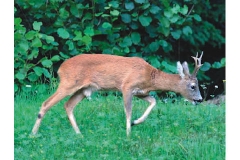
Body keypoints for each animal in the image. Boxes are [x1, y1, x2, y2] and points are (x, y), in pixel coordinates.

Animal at [31, 52, 202, 136]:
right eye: (193, 86)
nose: (200, 100)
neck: (150, 76)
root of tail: (61, 68)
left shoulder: (141, 92)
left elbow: (153, 101)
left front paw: (136, 122)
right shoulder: (126, 86)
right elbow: (128, 111)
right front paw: (128, 133)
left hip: (82, 90)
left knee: (68, 105)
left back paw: (79, 134)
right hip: (68, 83)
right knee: (46, 103)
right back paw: (33, 134)